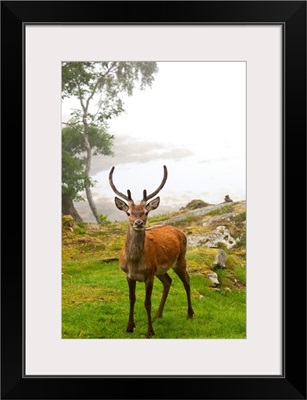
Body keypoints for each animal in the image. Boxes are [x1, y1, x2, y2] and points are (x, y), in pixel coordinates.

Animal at [109, 164, 194, 336]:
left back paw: (190, 313)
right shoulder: (129, 275)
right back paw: (158, 315)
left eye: (146, 212)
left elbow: (147, 302)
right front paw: (130, 327)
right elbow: (132, 298)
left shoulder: (149, 275)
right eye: (128, 212)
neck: (134, 263)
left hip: (180, 260)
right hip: (160, 270)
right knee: (168, 281)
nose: (139, 223)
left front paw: (150, 332)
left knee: (187, 280)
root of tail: (180, 231)